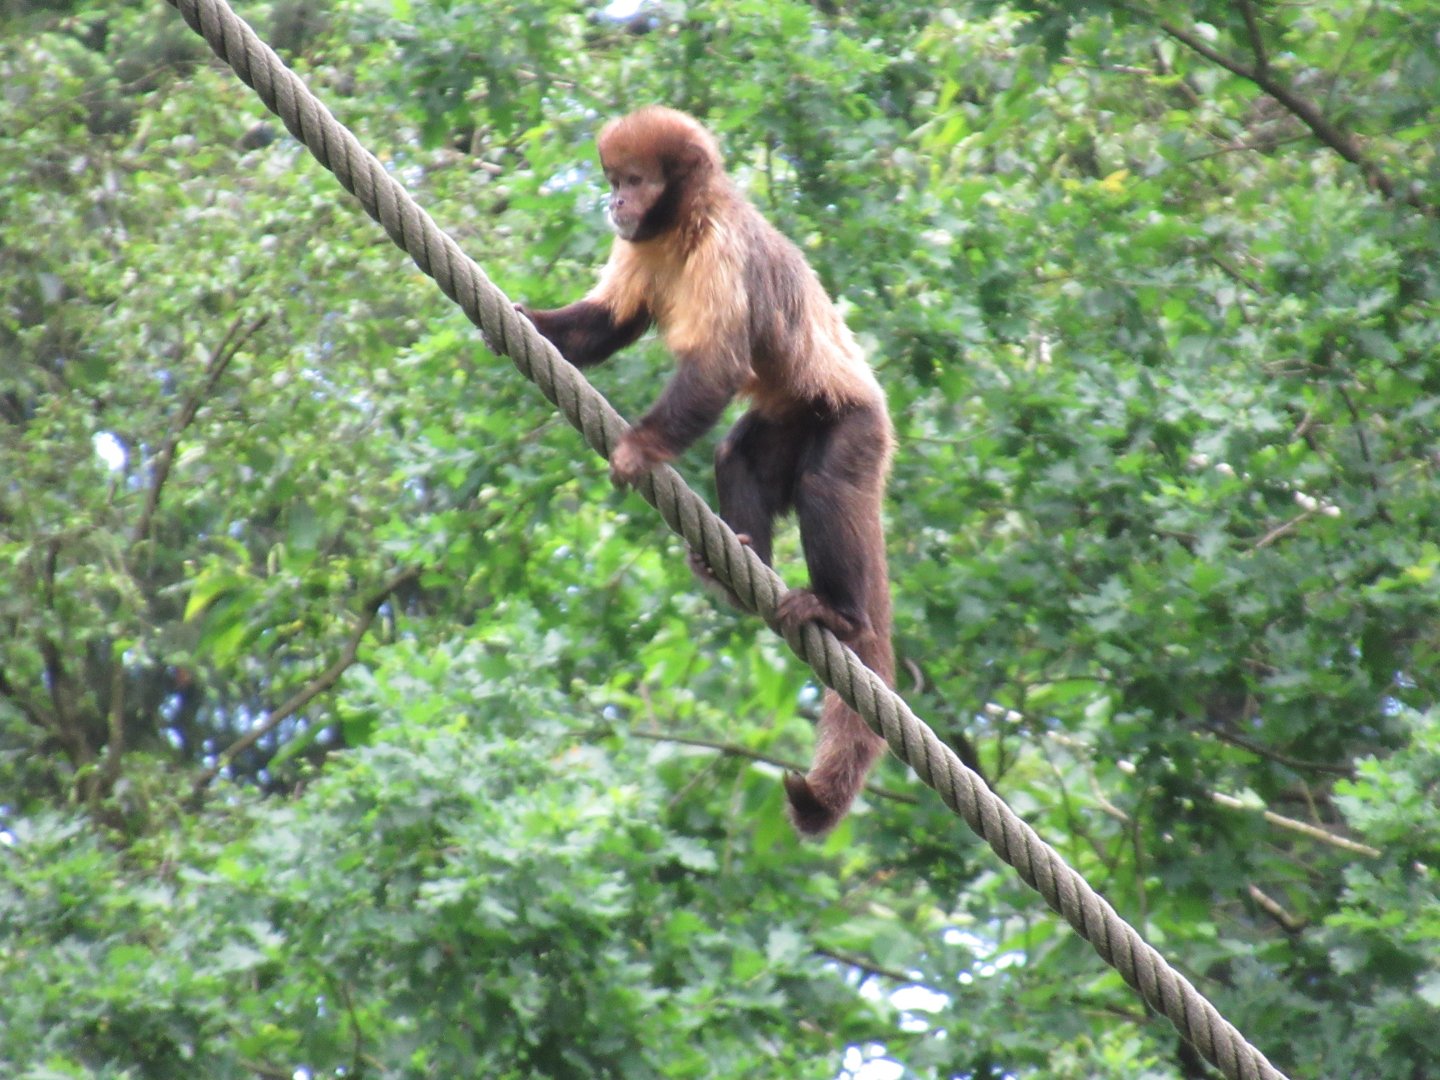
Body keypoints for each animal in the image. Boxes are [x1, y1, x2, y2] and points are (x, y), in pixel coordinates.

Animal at [520, 107, 894, 835]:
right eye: (614, 180)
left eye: (633, 181)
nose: (612, 202)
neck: (683, 225)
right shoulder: (641, 246)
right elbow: (607, 323)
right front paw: (528, 325)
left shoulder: (725, 248)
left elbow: (716, 365)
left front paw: (638, 450)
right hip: (790, 417)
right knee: (738, 455)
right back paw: (738, 567)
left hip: (854, 423)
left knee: (827, 483)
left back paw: (840, 616)